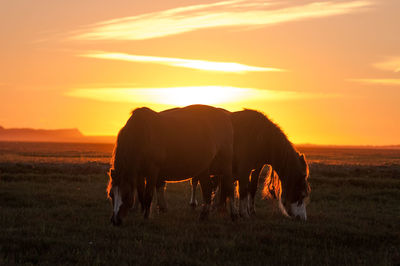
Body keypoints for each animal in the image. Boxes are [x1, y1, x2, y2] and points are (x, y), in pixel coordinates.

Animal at [106, 105, 238, 225]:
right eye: (111, 194)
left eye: (126, 195)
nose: (115, 220)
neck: (143, 134)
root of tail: (226, 118)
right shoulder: (139, 173)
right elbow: (141, 193)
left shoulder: (152, 171)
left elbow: (148, 194)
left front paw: (146, 217)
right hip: (204, 168)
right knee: (207, 189)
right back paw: (203, 215)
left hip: (225, 166)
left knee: (229, 187)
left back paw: (234, 214)